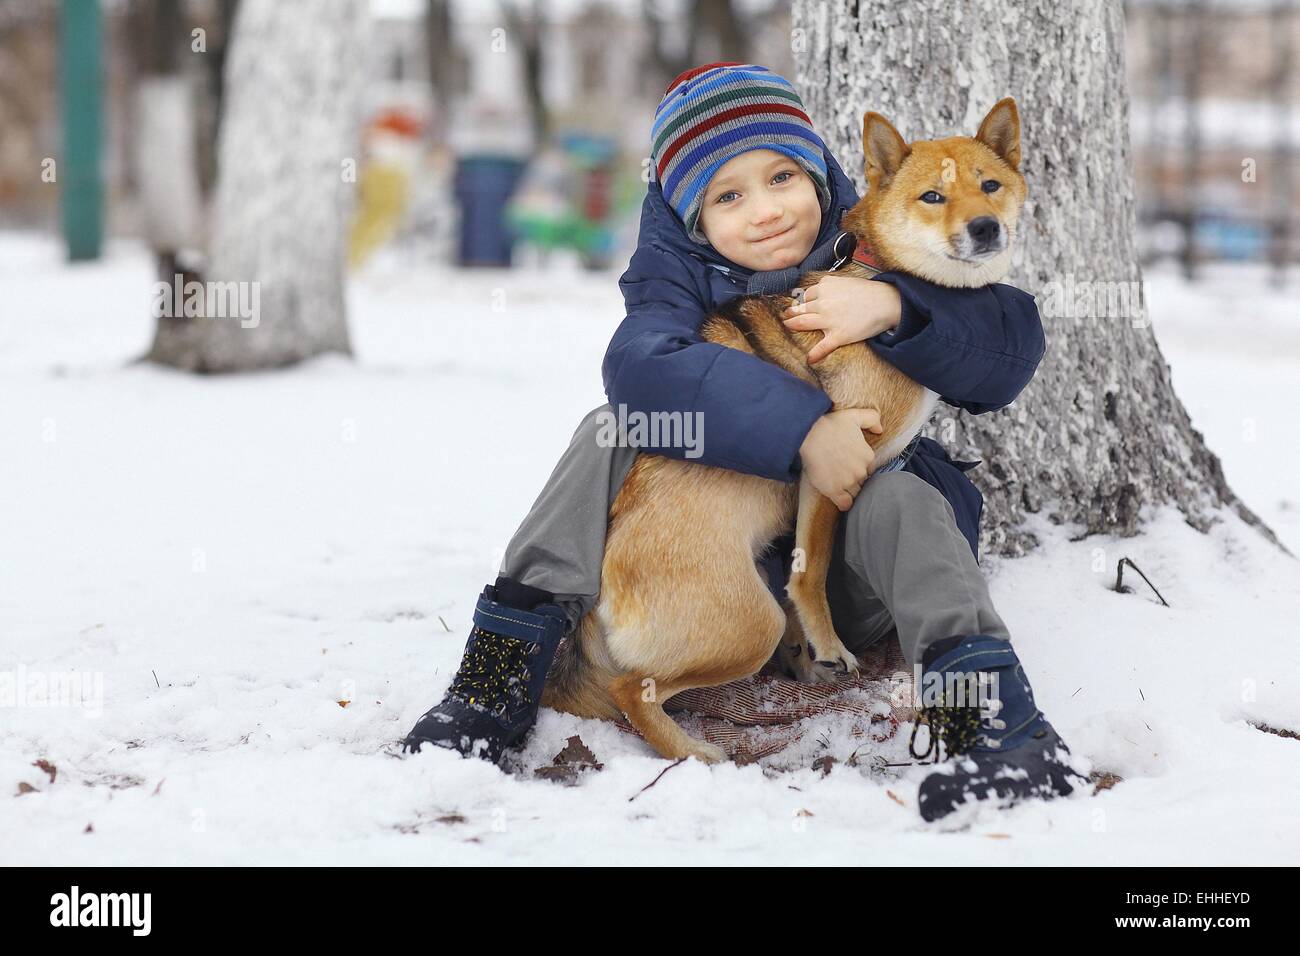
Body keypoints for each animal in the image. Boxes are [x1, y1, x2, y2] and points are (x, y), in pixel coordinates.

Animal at [538, 100, 1024, 764]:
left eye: (990, 186)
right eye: (932, 196)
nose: (984, 228)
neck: (878, 273)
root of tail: (599, 597)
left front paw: (816, 654)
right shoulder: (834, 466)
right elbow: (809, 572)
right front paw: (830, 644)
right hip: (749, 626)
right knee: (630, 689)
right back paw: (698, 754)